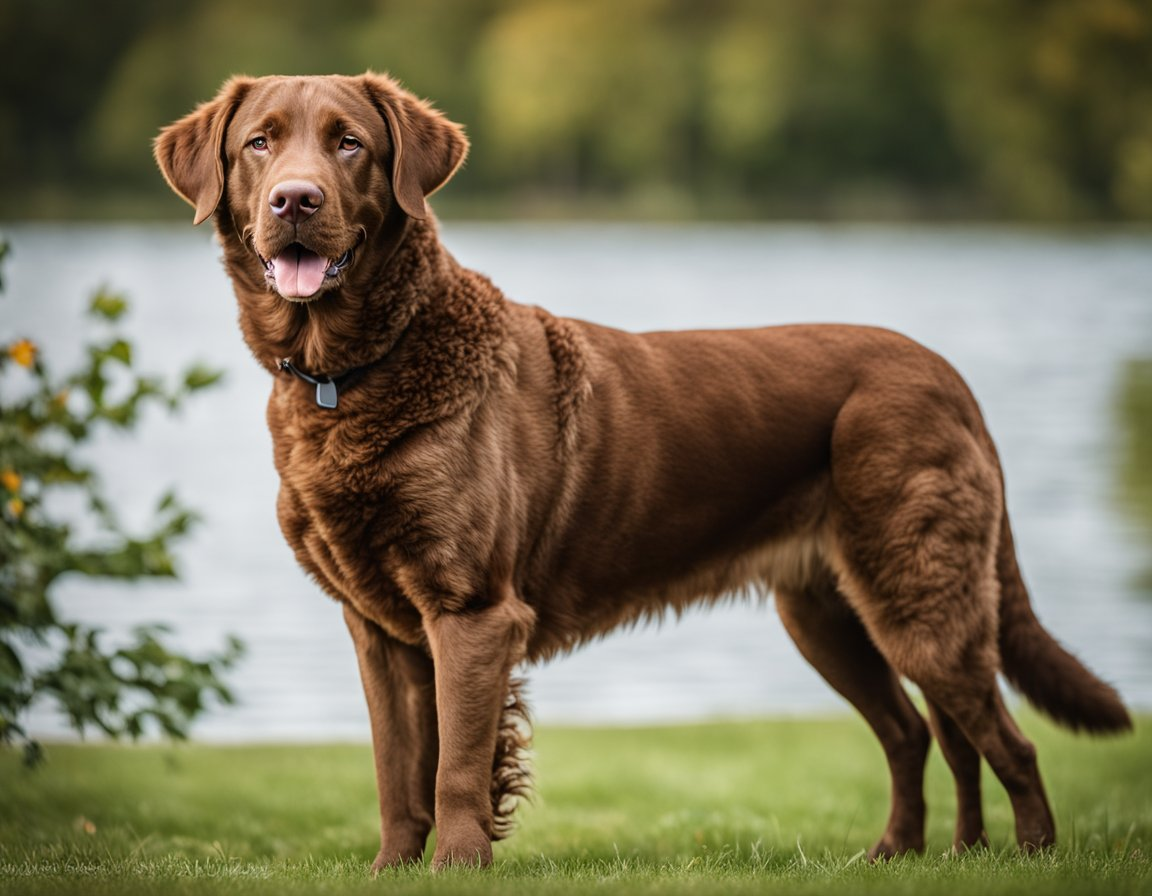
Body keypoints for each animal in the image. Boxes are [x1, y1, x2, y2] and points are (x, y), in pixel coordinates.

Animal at [155, 73, 1133, 870]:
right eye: (259, 143)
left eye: (350, 142)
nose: (295, 200)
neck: (357, 372)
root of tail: (947, 373)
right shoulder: (379, 628)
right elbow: (399, 774)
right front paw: (394, 872)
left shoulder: (472, 613)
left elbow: (456, 772)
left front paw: (456, 871)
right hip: (831, 613)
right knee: (921, 732)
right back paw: (919, 855)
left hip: (918, 593)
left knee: (1005, 740)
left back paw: (1029, 857)